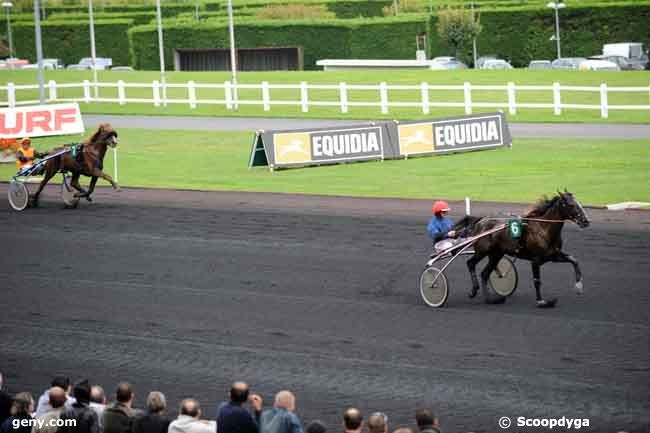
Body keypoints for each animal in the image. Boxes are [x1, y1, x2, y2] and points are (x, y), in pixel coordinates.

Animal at [460, 190, 588, 308]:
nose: (586, 221)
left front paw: (579, 286)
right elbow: (537, 281)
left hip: (496, 254)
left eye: (580, 203)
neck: (543, 229)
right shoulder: (535, 260)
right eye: (571, 205)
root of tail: (481, 220)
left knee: (485, 274)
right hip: (482, 251)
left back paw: (490, 299)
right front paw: (541, 301)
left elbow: (574, 260)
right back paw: (474, 290)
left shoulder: (553, 256)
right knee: (470, 263)